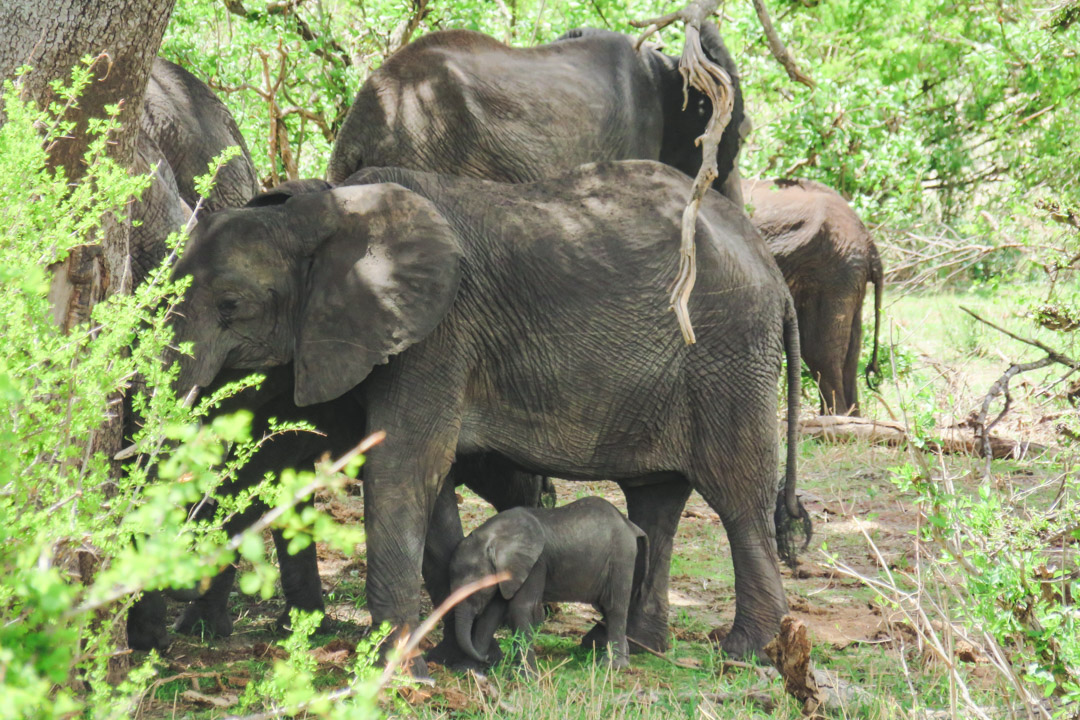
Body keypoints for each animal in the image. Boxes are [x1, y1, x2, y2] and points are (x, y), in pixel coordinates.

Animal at [449, 498, 643, 673]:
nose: (488, 660)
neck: (493, 537)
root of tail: (630, 526)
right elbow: (491, 614)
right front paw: (467, 670)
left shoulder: (535, 565)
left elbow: (522, 608)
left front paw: (526, 677)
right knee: (606, 609)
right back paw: (621, 661)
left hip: (621, 557)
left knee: (614, 608)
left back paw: (613, 665)